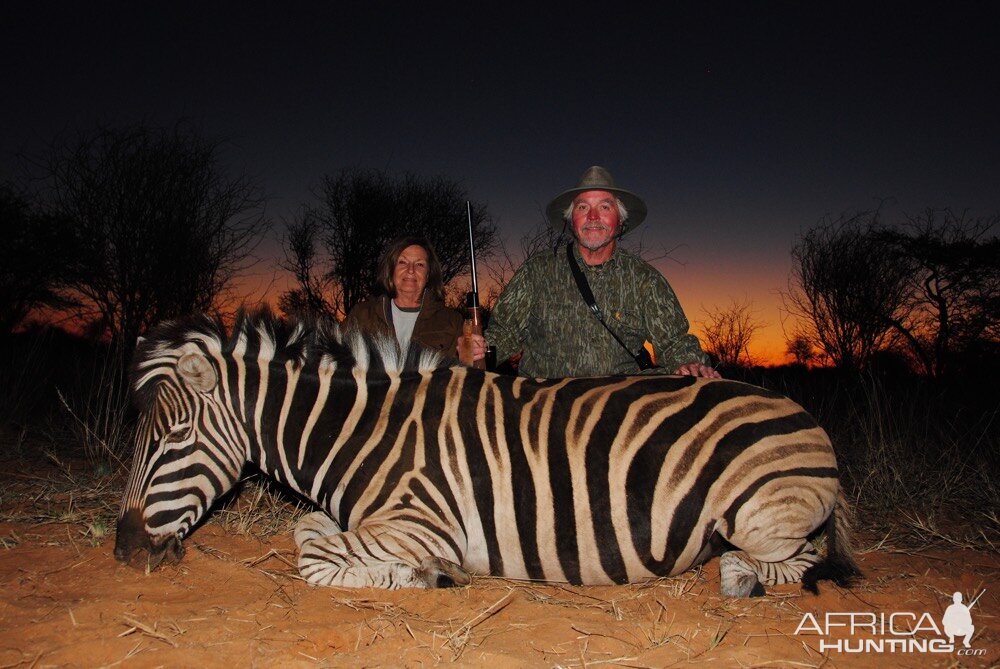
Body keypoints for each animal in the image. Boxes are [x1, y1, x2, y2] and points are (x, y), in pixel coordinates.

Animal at [111, 310, 860, 596]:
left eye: (172, 438)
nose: (123, 548)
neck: (362, 434)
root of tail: (811, 423)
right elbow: (307, 532)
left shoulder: (420, 522)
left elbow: (315, 561)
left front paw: (424, 576)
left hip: (759, 514)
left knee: (793, 557)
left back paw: (738, 576)